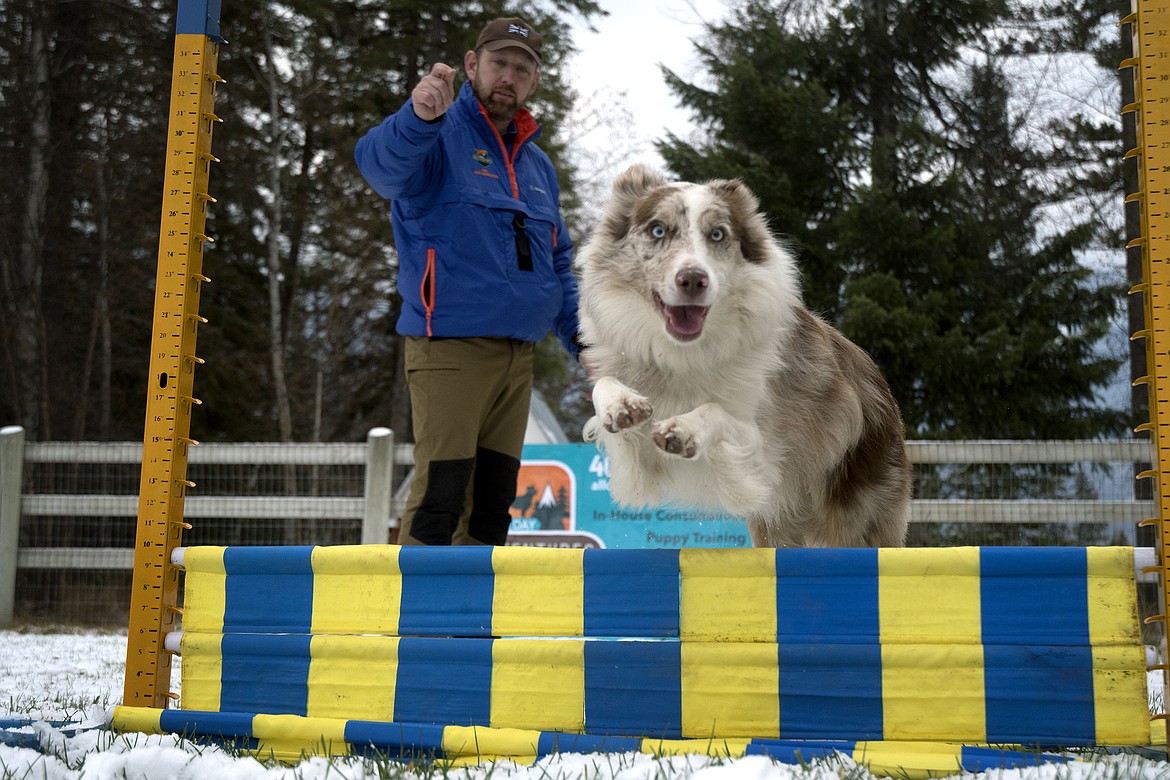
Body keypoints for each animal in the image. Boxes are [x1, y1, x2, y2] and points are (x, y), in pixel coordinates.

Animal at [575, 163, 912, 549]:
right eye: (657, 230)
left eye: (717, 234)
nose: (693, 279)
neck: (684, 353)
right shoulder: (637, 469)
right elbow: (605, 385)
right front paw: (622, 405)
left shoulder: (760, 457)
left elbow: (716, 411)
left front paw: (685, 428)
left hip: (859, 517)